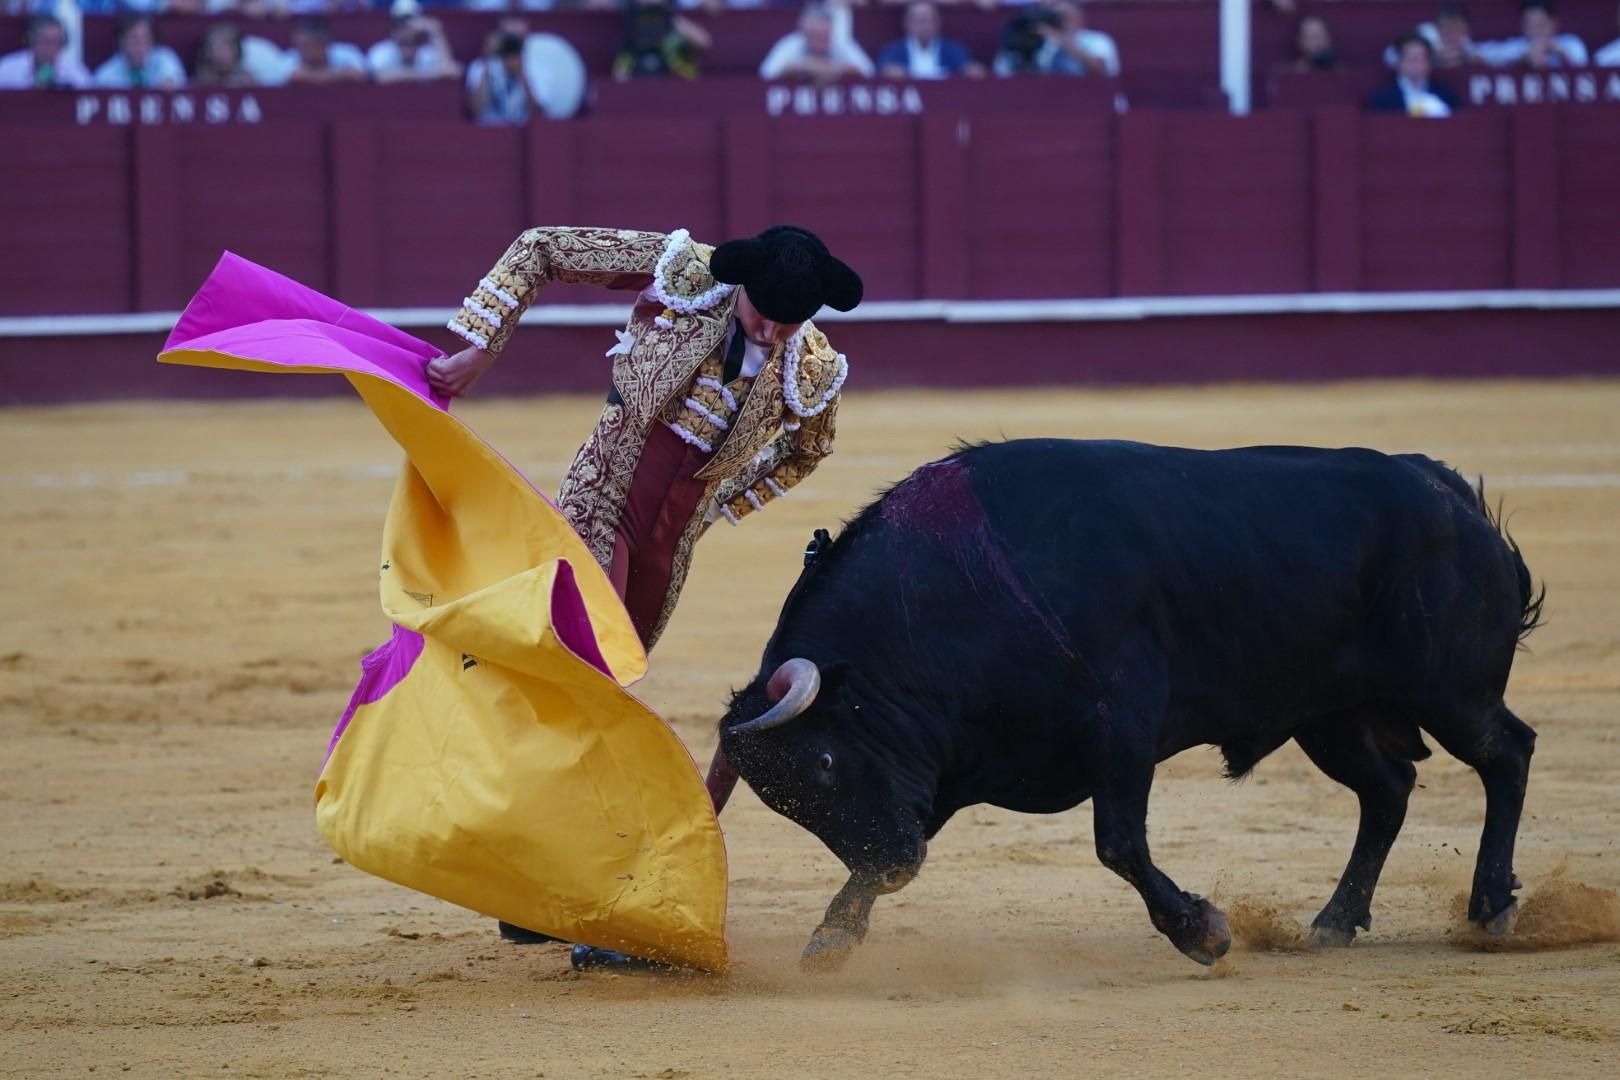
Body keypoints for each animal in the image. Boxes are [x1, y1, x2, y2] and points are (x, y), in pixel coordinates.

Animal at [712, 437, 1542, 971]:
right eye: (788, 803)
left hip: (1450, 691)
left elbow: (1118, 844)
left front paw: (1202, 933)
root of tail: (1444, 488)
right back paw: (1334, 922)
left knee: (1508, 752)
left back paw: (1491, 906)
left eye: (824, 762)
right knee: (1389, 790)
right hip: (1326, 716)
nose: (893, 865)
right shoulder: (949, 767)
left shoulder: (1120, 728)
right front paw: (832, 937)